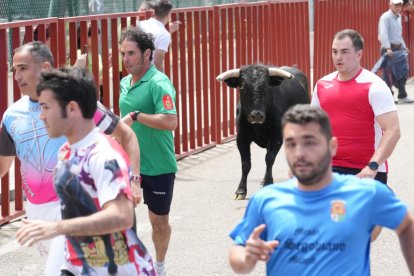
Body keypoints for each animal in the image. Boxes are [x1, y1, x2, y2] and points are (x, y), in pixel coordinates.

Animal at [218, 64, 308, 199]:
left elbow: (269, 159)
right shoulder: (242, 139)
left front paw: (267, 183)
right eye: (242, 86)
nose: (256, 115)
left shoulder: (276, 137)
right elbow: (246, 164)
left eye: (266, 86)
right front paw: (241, 190)